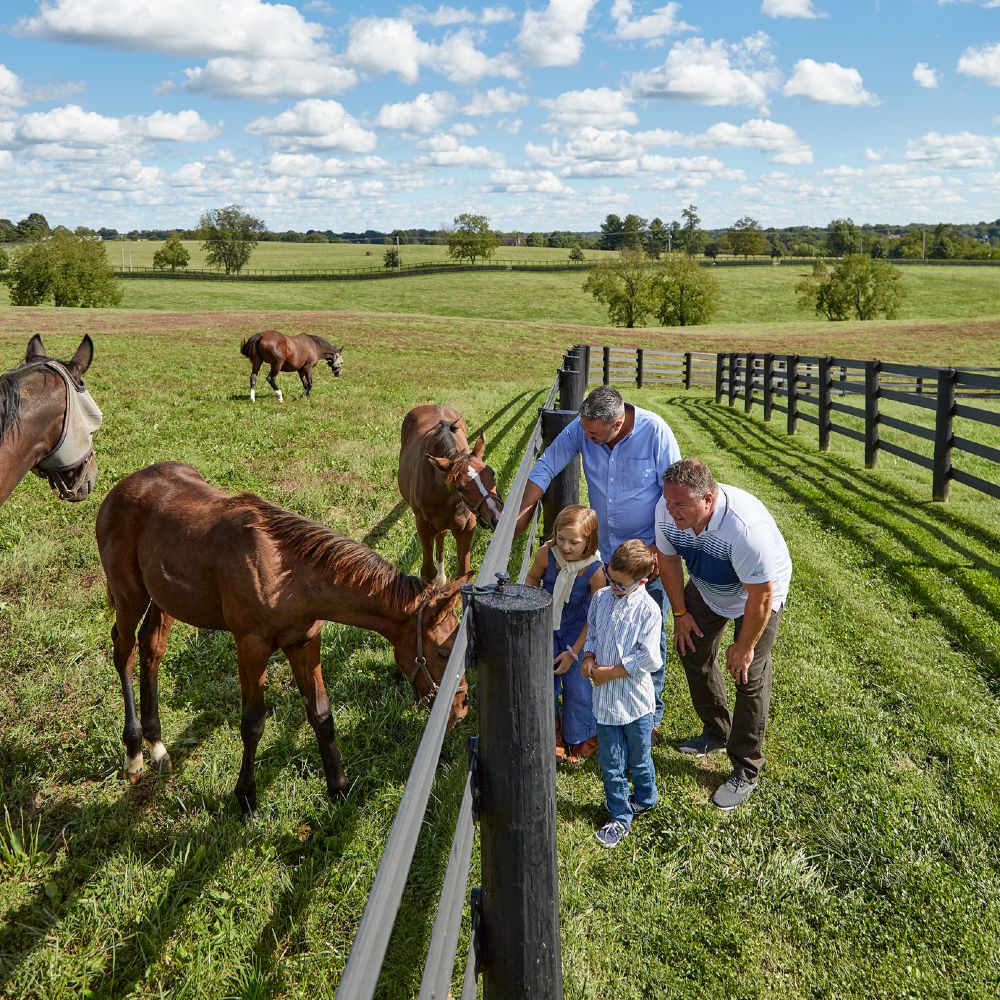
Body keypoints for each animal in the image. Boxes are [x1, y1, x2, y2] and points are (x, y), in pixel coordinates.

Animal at [96, 461, 467, 816]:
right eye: (444, 652)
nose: (460, 708)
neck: (287, 575)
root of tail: (121, 489)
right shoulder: (251, 648)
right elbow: (252, 723)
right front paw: (247, 799)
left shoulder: (304, 643)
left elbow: (321, 714)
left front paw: (338, 789)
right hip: (130, 598)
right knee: (124, 652)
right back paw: (133, 752)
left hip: (163, 601)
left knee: (152, 648)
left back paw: (156, 745)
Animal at [397, 405, 504, 586]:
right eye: (460, 488)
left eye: (491, 472)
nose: (497, 516)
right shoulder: (424, 528)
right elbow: (427, 574)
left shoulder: (467, 527)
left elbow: (463, 574)